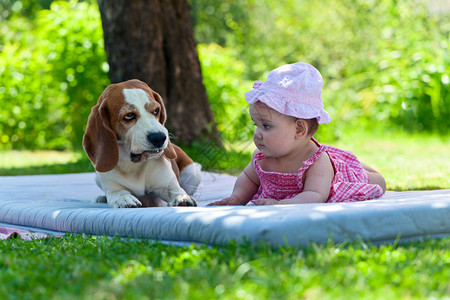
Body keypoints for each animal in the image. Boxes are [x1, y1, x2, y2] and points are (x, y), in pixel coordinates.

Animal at [82, 78, 200, 207]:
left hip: (193, 173)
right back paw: (101, 198)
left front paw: (182, 198)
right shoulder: (113, 189)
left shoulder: (167, 184)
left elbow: (176, 191)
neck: (133, 165)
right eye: (129, 115)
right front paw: (124, 199)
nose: (160, 137)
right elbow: (120, 193)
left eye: (156, 111)